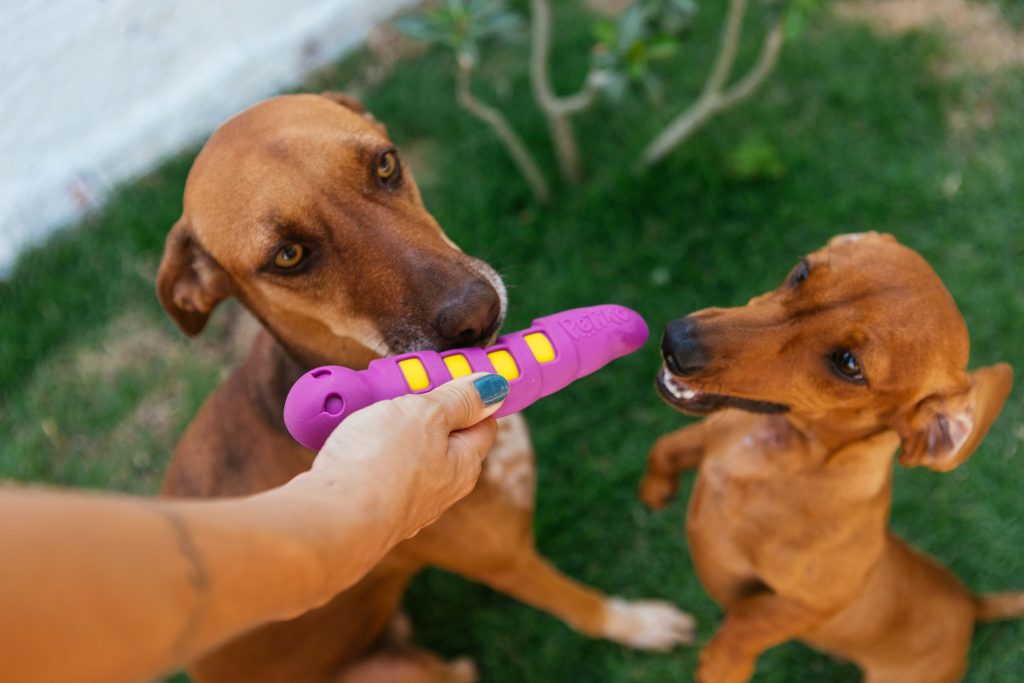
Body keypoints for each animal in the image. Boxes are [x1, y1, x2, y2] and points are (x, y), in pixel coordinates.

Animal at [155, 94, 692, 683]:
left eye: (386, 165)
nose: (477, 315)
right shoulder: (506, 562)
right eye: (288, 256)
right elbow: (581, 607)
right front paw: (638, 623)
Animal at [638, 232, 1015, 679]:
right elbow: (664, 448)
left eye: (849, 364)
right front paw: (655, 490)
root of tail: (970, 604)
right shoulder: (708, 440)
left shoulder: (811, 604)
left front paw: (722, 663)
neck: (776, 453)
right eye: (801, 273)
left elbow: (750, 623)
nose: (675, 342)